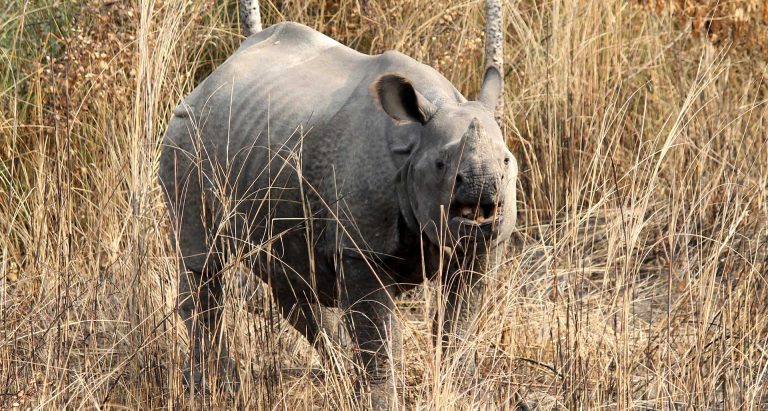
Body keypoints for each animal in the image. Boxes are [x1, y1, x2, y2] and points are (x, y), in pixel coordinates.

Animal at [159, 21, 518, 408]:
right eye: (441, 165)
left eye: (507, 161)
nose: (484, 185)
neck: (414, 140)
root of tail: (206, 83)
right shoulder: (361, 249)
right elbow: (378, 336)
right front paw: (382, 403)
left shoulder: (482, 247)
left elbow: (460, 321)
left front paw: (461, 392)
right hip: (186, 141)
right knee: (203, 265)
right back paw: (215, 391)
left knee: (296, 285)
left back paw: (339, 379)